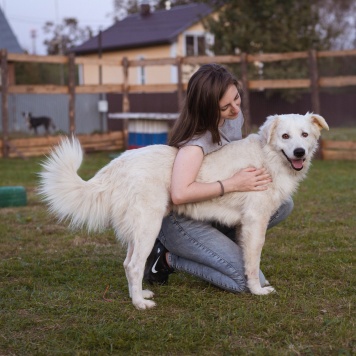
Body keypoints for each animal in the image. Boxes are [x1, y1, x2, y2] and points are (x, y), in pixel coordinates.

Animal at [38, 113, 328, 308]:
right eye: (285, 136)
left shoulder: (247, 223)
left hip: (137, 230)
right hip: (148, 226)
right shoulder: (256, 221)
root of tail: (119, 163)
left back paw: (140, 294)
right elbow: (252, 262)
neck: (268, 159)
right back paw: (140, 304)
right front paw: (257, 290)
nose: (299, 152)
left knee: (127, 263)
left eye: (304, 135)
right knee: (133, 265)